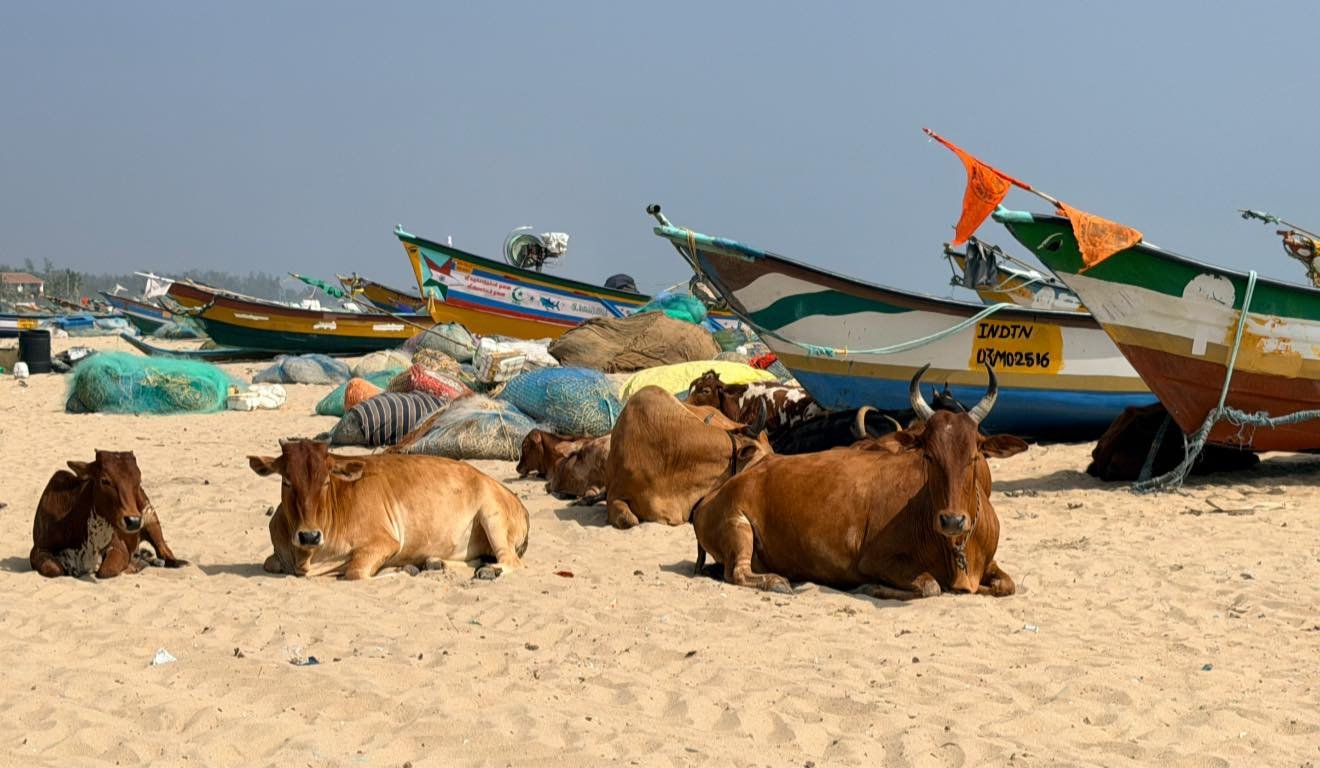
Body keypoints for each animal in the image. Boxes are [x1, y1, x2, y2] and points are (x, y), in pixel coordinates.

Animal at [30, 450, 187, 578]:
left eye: (139, 480)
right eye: (105, 480)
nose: (134, 521)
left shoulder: (118, 547)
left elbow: (106, 571)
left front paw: (135, 565)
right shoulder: (38, 549)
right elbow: (54, 569)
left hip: (151, 519)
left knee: (164, 551)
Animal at [249, 438, 529, 580]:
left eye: (326, 481)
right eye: (286, 480)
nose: (309, 536)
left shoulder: (384, 543)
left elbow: (356, 572)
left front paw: (399, 569)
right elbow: (269, 564)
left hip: (492, 518)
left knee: (511, 561)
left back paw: (489, 571)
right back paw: (436, 563)